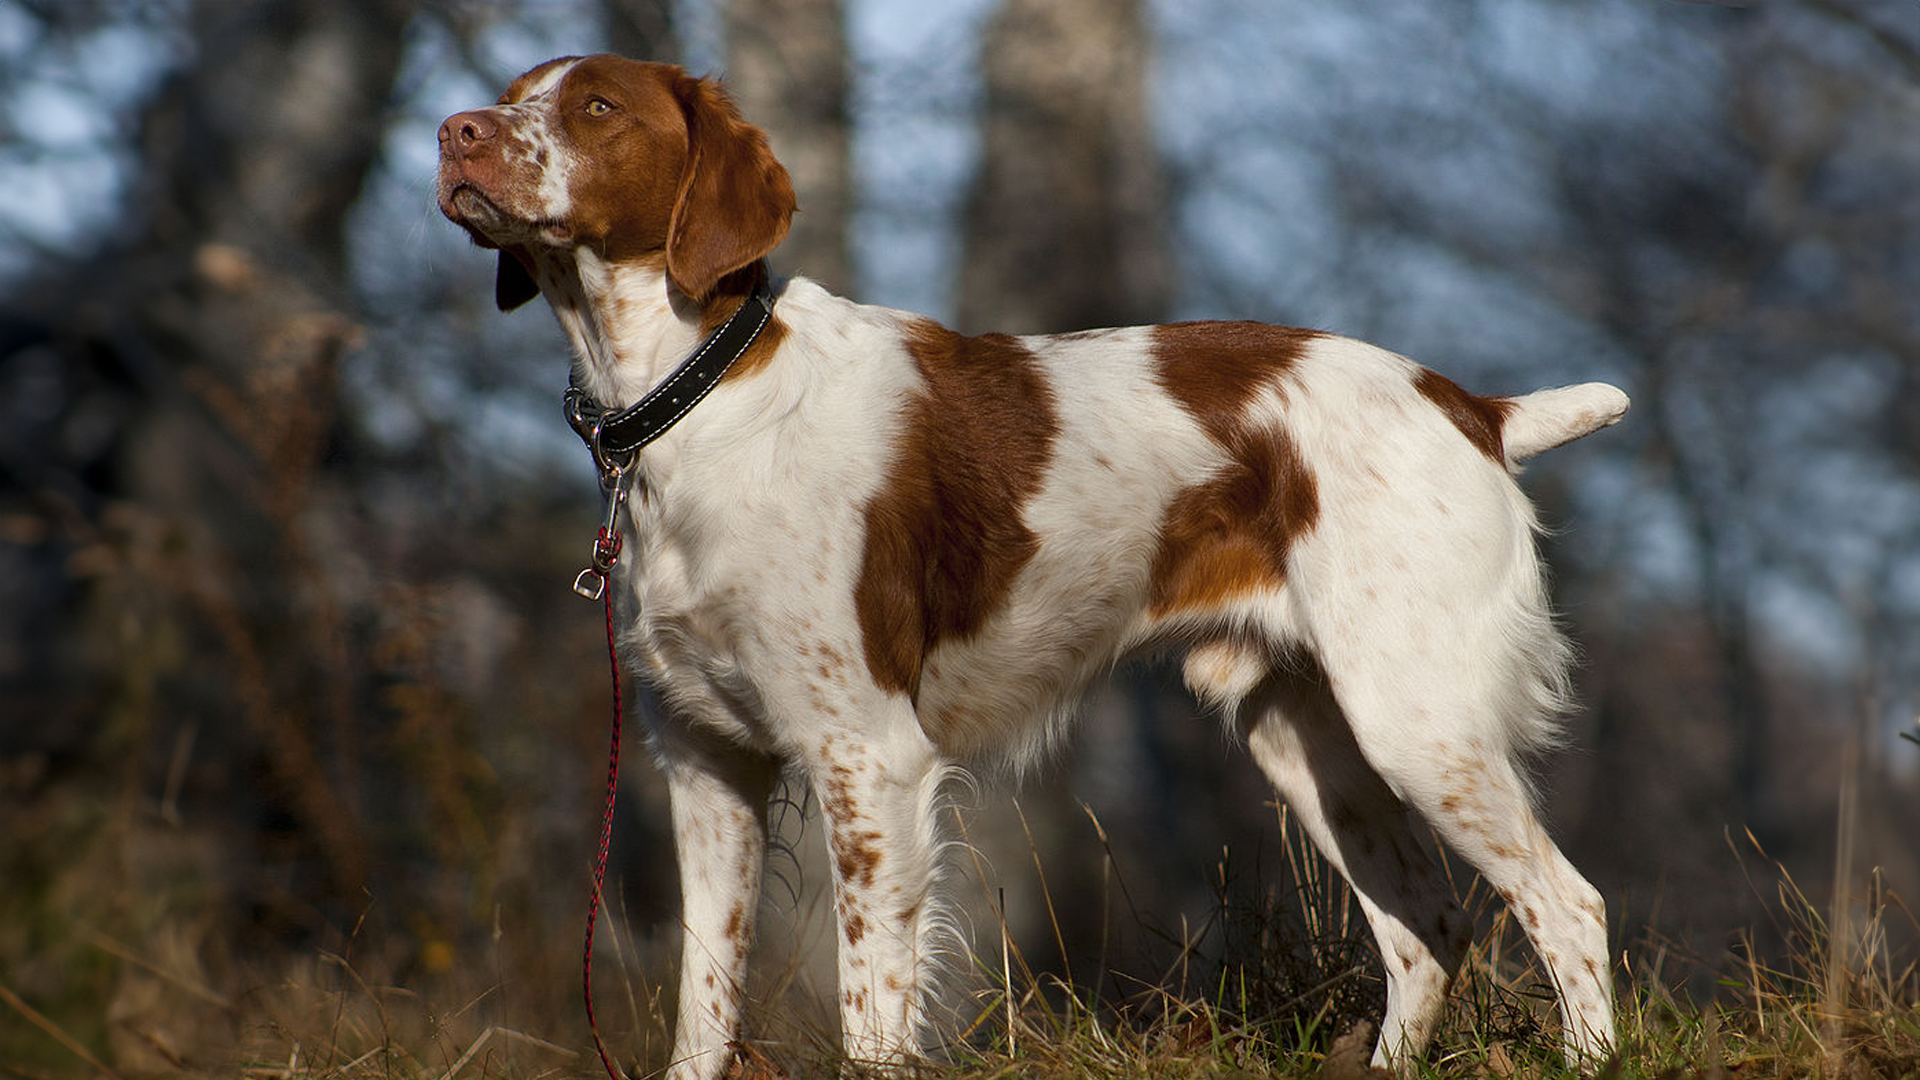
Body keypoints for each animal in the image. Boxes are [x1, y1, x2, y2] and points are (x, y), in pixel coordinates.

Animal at [432, 54, 1620, 1068]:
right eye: (512, 93)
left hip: (1417, 718)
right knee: (1427, 929)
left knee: (1568, 904)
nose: (454, 133)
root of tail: (1470, 405)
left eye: (596, 108)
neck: (697, 399)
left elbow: (872, 1013)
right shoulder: (706, 762)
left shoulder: (868, 760)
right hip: (1310, 739)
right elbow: (704, 1007)